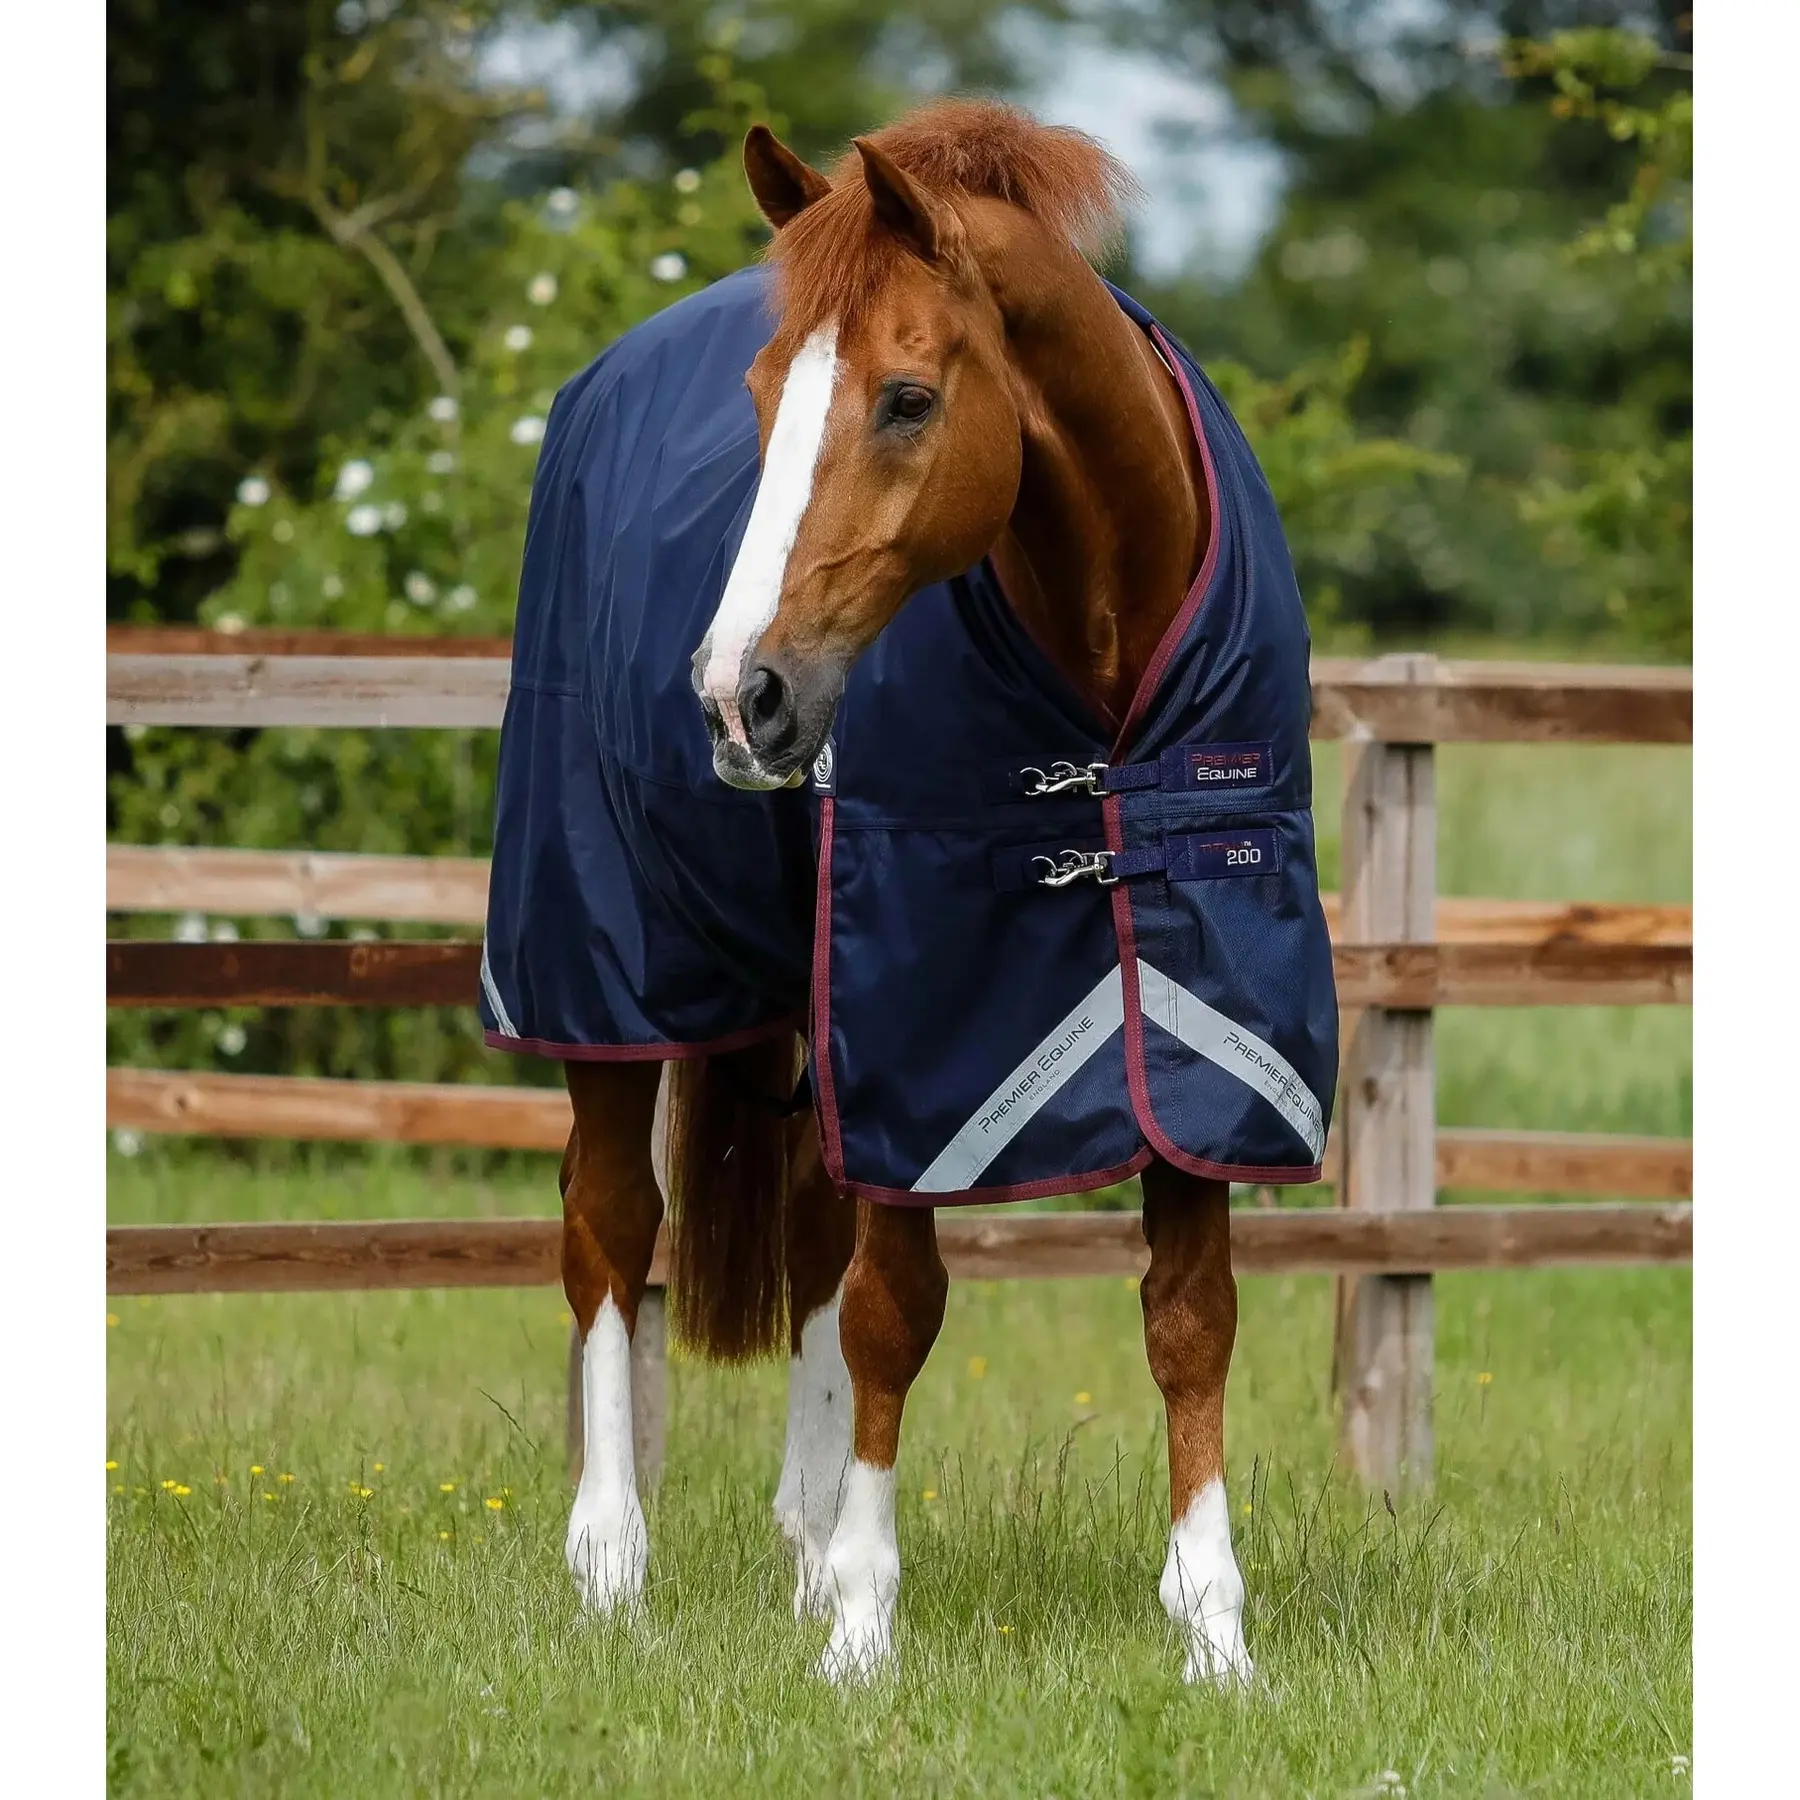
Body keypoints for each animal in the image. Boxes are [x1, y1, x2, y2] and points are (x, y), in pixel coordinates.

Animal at [484, 99, 1337, 1686]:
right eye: (764, 395)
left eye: (904, 399)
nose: (736, 694)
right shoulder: (927, 1020)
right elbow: (897, 1311)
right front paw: (867, 1628)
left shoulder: (1200, 1023)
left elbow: (1189, 1318)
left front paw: (1214, 1632)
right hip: (601, 967)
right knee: (611, 1231)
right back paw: (613, 1564)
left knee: (807, 1235)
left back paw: (801, 1550)